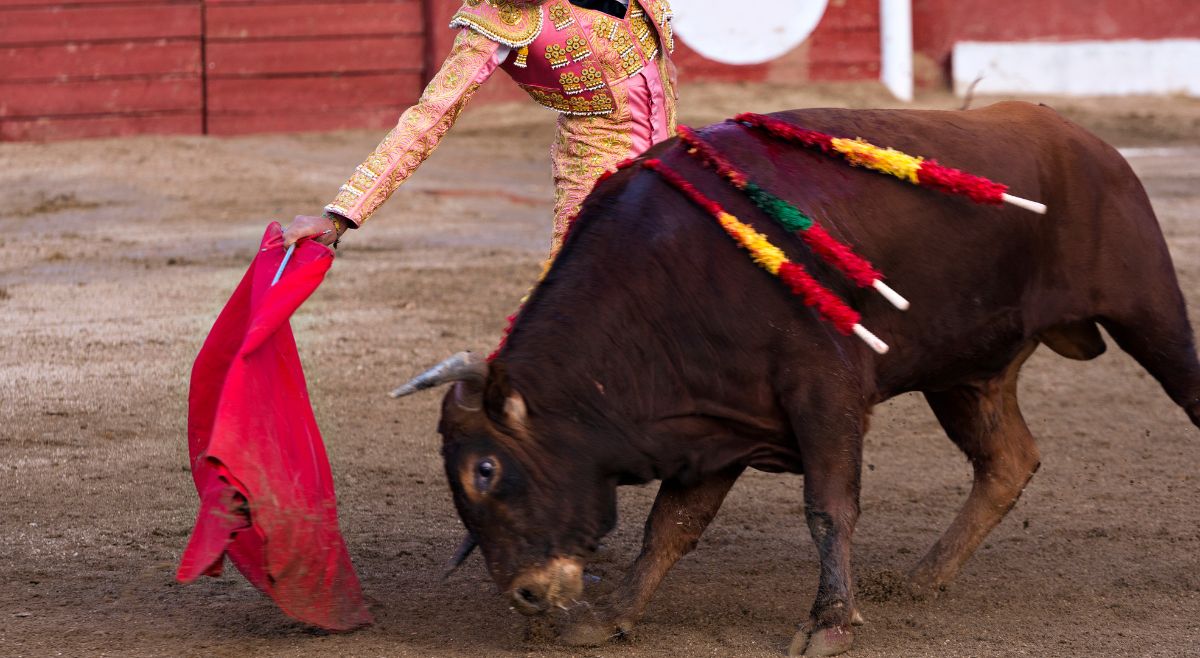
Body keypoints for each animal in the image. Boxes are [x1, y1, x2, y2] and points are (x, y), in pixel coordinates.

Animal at [393, 101, 1200, 656]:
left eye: (486, 469)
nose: (526, 595)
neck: (668, 279)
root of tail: (1082, 138)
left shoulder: (825, 395)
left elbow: (828, 507)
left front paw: (830, 624)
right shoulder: (715, 425)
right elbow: (670, 526)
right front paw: (613, 615)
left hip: (1149, 310)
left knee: (1185, 396)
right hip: (967, 373)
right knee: (1008, 462)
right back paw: (922, 579)